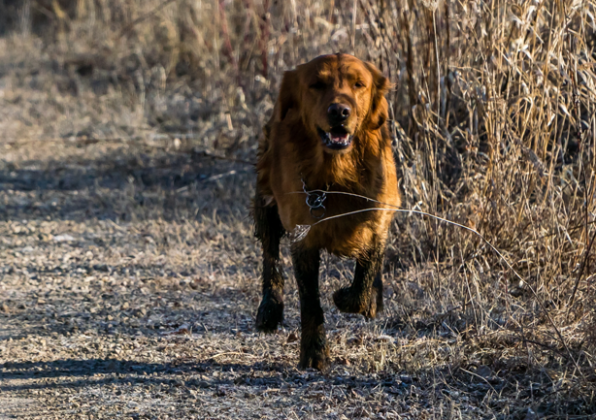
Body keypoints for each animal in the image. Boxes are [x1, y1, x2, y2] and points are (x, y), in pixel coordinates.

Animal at [253, 53, 400, 370]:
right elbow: (310, 300)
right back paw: (269, 309)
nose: (340, 112)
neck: (337, 174)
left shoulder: (379, 216)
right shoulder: (303, 236)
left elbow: (367, 271)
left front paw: (353, 297)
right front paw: (314, 351)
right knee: (270, 254)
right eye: (316, 85)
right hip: (264, 197)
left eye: (359, 84)